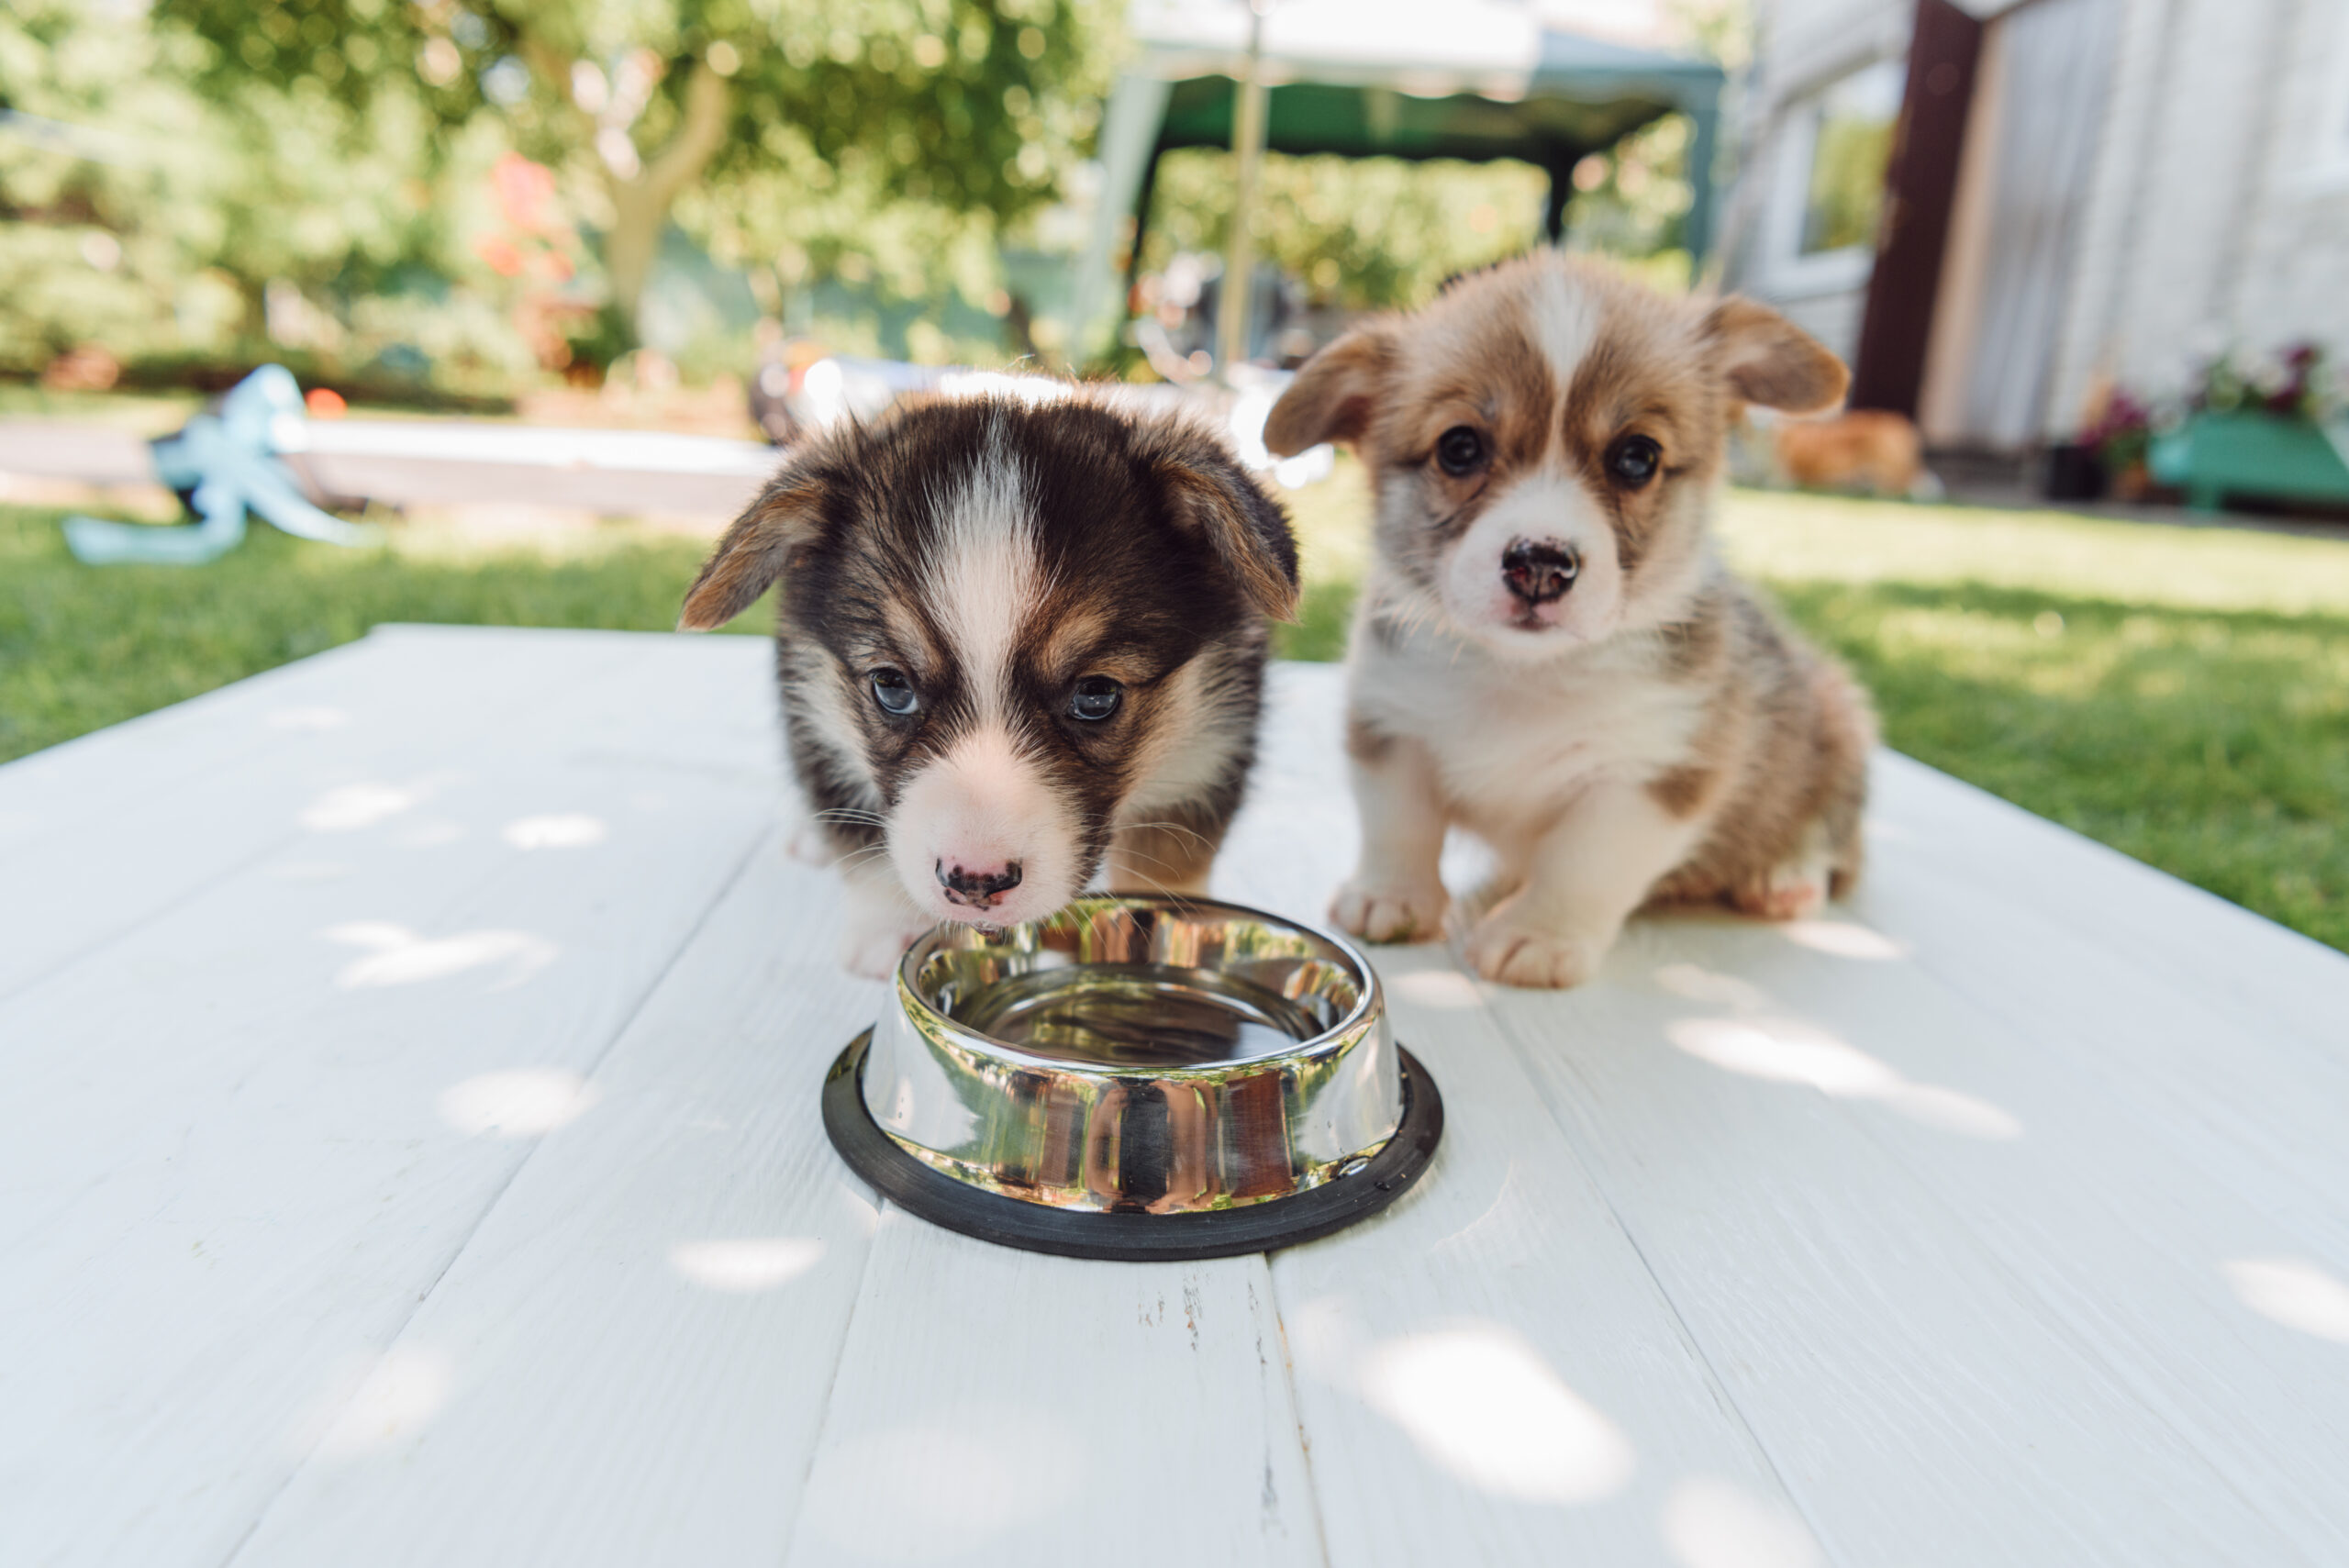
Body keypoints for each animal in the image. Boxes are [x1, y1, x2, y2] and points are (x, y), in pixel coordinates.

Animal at [681, 394, 1306, 981]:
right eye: (891, 686)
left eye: (1097, 695)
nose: (975, 884)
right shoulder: (812, 710)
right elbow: (860, 839)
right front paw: (889, 929)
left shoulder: (1211, 748)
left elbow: (1168, 857)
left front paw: (1158, 932)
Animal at [1259, 257, 1879, 990]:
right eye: (1459, 447)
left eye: (1638, 456)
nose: (1541, 565)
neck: (1523, 674)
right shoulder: (1390, 726)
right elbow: (1398, 824)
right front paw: (1392, 899)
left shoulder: (1650, 774)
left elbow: (1586, 863)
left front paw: (1539, 937)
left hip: (1837, 722)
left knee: (1831, 837)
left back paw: (1782, 876)